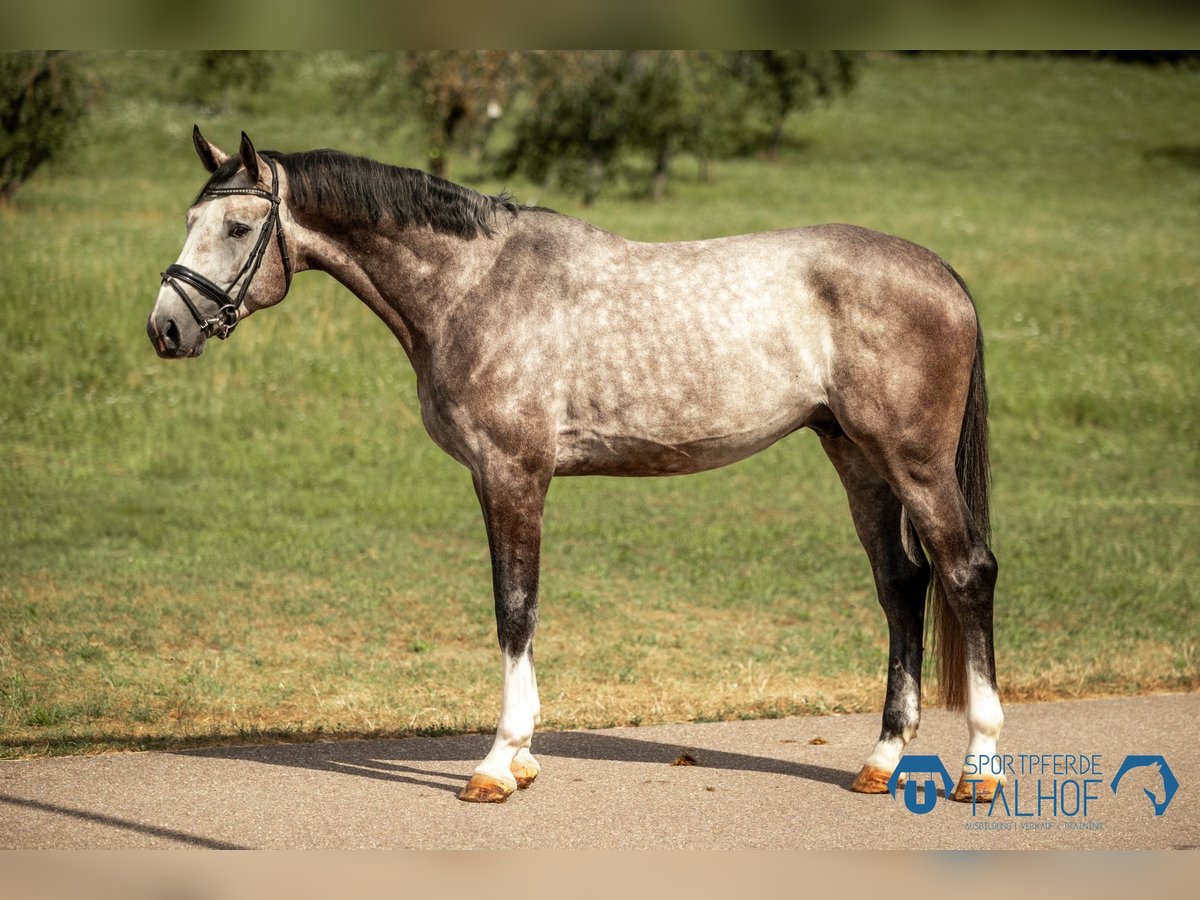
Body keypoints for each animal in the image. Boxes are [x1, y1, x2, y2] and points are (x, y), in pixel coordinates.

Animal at [147, 127, 1003, 801]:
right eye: (190, 219)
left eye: (237, 225)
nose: (165, 328)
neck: (475, 286)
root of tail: (943, 274)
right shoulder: (495, 478)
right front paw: (522, 756)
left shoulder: (513, 473)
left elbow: (515, 609)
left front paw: (499, 763)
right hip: (855, 455)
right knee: (901, 585)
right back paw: (882, 759)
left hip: (914, 462)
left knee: (966, 572)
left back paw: (981, 766)